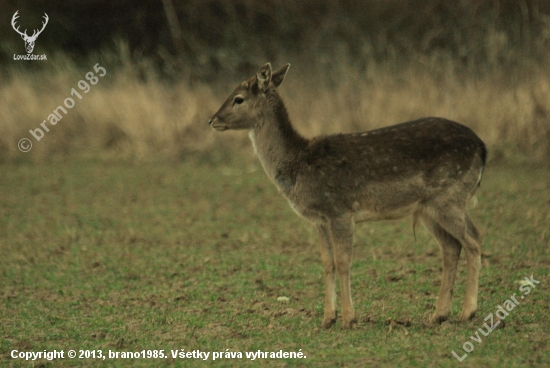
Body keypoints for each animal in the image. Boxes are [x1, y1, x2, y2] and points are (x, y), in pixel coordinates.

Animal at [208, 61, 488, 330]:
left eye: (239, 98)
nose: (212, 119)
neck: (298, 166)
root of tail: (482, 147)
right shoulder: (319, 219)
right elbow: (327, 263)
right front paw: (327, 319)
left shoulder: (340, 209)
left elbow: (343, 262)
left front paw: (348, 319)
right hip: (429, 207)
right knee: (451, 246)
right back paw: (438, 315)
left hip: (450, 195)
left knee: (474, 239)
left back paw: (467, 312)